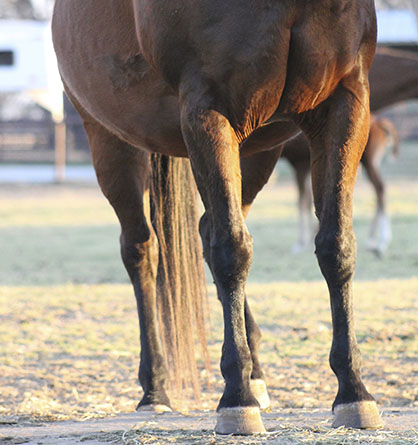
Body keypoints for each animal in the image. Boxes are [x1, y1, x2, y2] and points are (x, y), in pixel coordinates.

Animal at [51, 0, 378, 434]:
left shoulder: (346, 102)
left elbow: (336, 248)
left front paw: (354, 391)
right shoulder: (208, 112)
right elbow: (232, 252)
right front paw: (236, 400)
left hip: (257, 150)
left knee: (209, 228)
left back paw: (254, 375)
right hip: (110, 138)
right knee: (142, 250)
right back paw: (156, 389)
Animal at [282, 47, 416, 255]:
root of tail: (380, 123)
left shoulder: (299, 163)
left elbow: (302, 201)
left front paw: (301, 243)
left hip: (368, 161)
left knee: (380, 189)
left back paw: (380, 241)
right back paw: (372, 241)